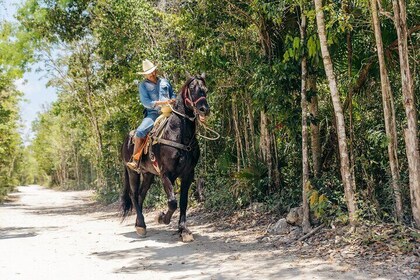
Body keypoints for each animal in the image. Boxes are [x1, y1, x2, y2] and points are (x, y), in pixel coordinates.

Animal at [120, 74, 209, 241]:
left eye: (205, 89)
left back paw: (139, 224)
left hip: (148, 175)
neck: (179, 135)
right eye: (192, 88)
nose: (204, 109)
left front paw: (184, 230)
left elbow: (183, 201)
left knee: (141, 195)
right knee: (133, 195)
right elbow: (172, 202)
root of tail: (127, 138)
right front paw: (162, 218)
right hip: (133, 172)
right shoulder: (165, 174)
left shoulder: (188, 174)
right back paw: (141, 226)